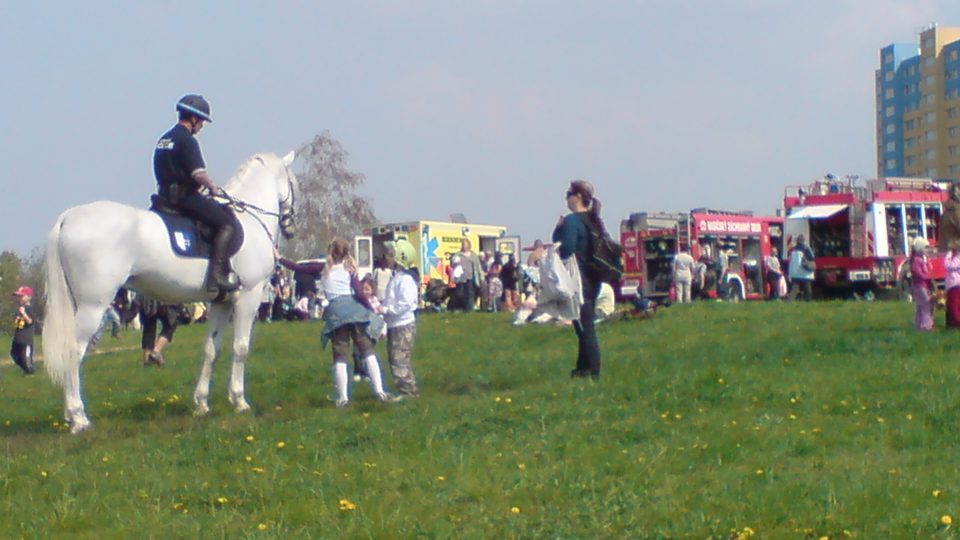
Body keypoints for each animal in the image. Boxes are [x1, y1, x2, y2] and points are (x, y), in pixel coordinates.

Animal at [43, 152, 298, 434]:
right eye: (294, 183)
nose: (291, 227)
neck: (249, 221)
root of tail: (68, 217)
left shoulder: (222, 303)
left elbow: (212, 349)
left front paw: (201, 404)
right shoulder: (248, 298)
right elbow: (240, 348)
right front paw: (239, 401)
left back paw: (70, 415)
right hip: (92, 306)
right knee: (73, 352)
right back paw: (79, 418)